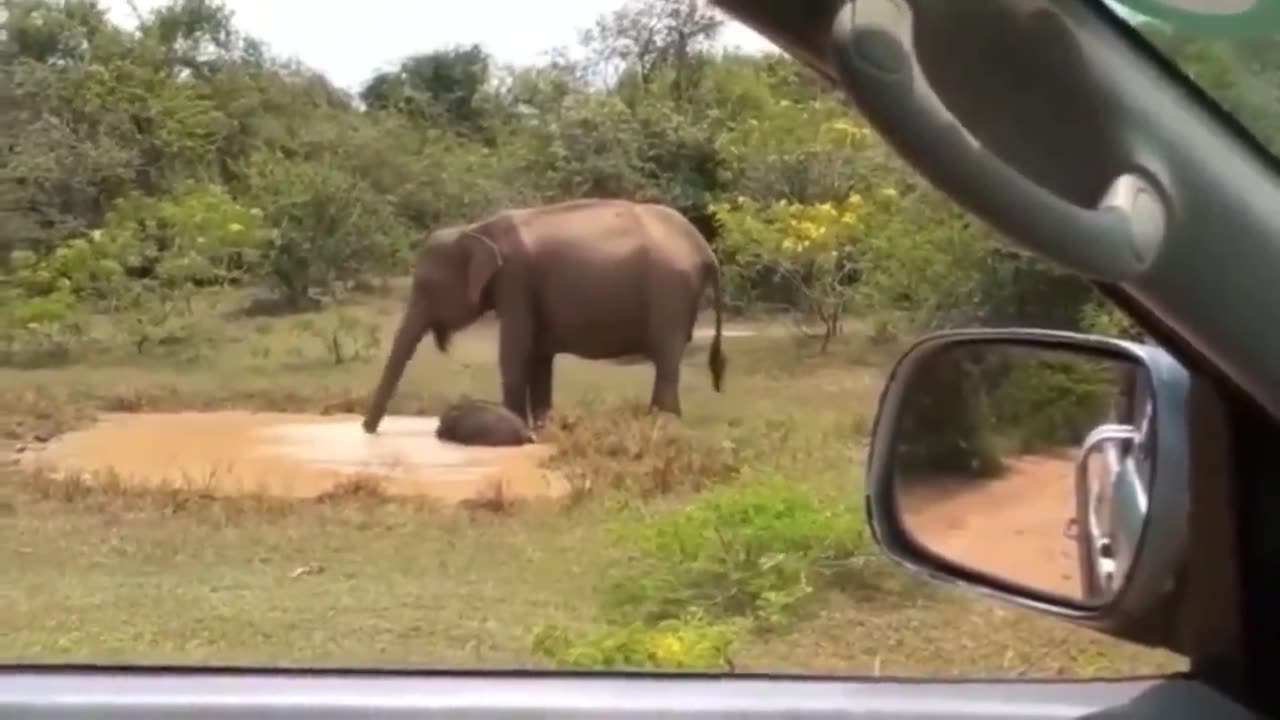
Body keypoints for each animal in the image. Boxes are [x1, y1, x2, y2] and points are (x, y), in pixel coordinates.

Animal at [366, 194, 727, 430]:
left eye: (426, 287)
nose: (368, 430)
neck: (476, 228)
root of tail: (704, 249)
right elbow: (539, 355)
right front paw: (542, 427)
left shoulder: (516, 280)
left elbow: (514, 352)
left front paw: (517, 424)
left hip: (670, 293)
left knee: (666, 358)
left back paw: (662, 425)